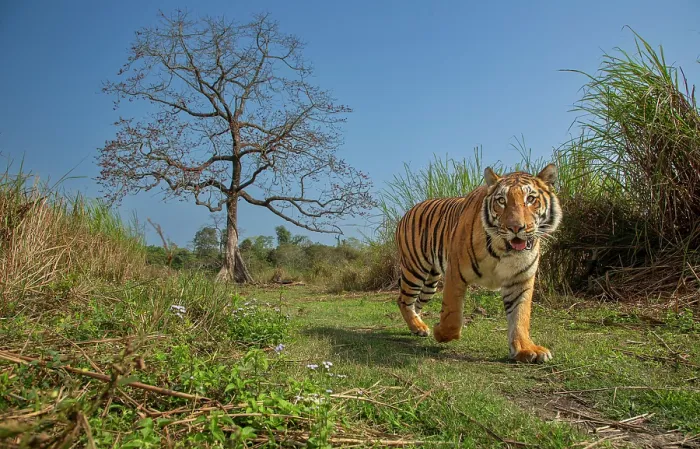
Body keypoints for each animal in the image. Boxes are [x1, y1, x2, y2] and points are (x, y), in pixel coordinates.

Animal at [395, 164, 561, 363]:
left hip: (430, 283)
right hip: (415, 270)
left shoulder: (519, 280)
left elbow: (520, 316)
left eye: (530, 199)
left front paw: (526, 349)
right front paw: (440, 333)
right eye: (501, 200)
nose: (515, 228)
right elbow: (452, 315)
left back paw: (418, 326)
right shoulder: (455, 273)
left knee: (416, 303)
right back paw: (419, 327)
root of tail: (408, 211)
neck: (504, 250)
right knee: (403, 300)